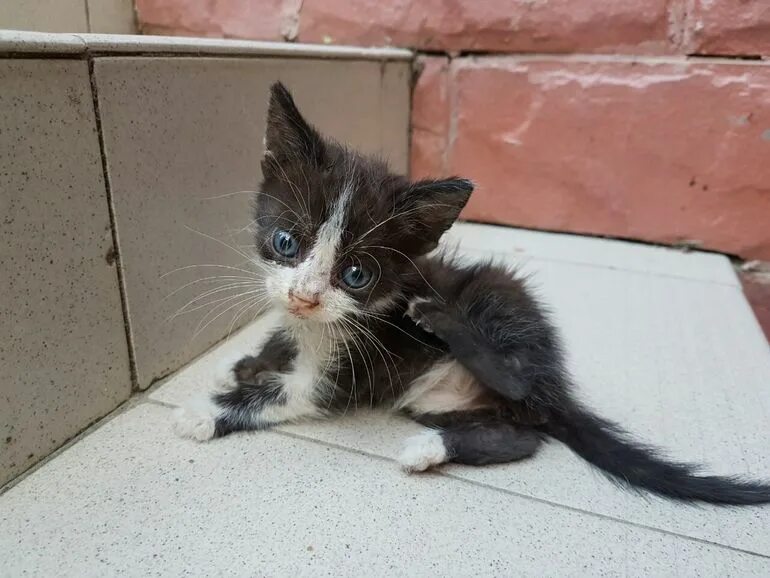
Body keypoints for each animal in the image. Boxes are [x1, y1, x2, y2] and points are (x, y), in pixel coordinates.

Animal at [174, 82, 768, 504]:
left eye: (356, 275)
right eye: (285, 242)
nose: (304, 296)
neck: (324, 326)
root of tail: (552, 386)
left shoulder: (346, 375)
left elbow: (284, 395)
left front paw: (205, 410)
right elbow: (280, 345)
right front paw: (246, 362)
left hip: (497, 295)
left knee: (515, 375)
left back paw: (439, 320)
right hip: (441, 403)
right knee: (521, 436)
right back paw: (433, 447)